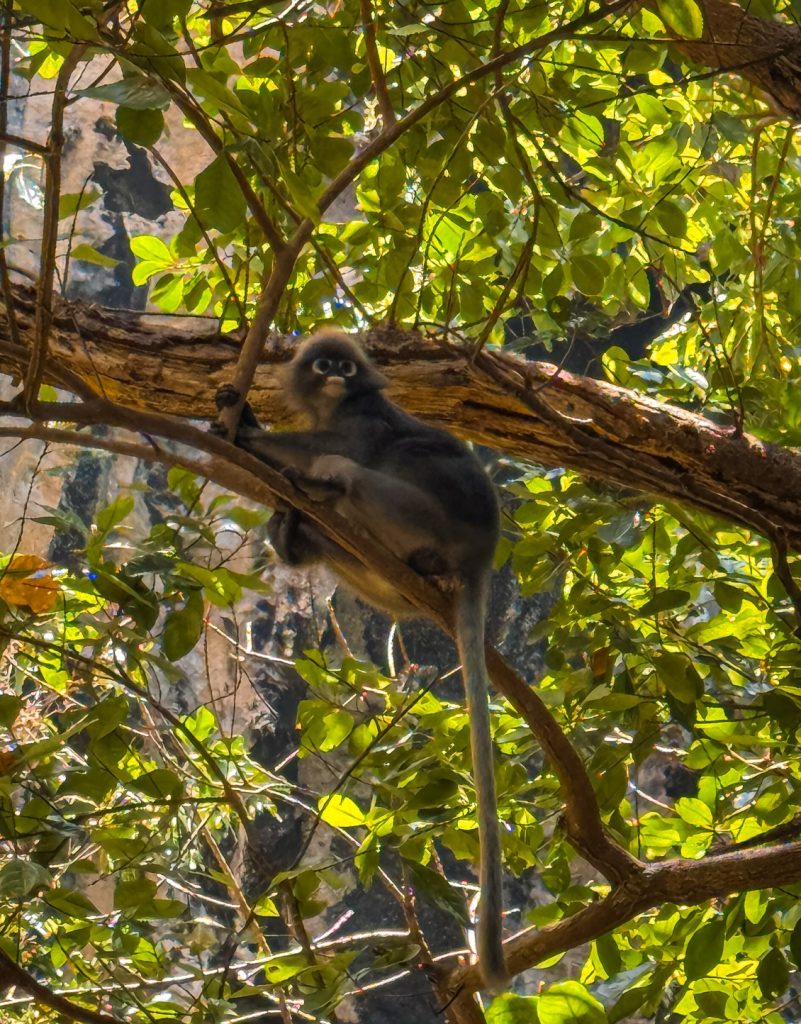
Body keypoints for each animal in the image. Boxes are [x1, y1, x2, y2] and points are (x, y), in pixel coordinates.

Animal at [214, 331, 507, 992]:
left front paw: (247, 433)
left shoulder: (362, 421)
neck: (335, 405)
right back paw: (296, 534)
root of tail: (480, 554)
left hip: (416, 517)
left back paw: (329, 499)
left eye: (346, 368)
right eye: (323, 363)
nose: (333, 373)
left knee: (345, 471)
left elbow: (333, 448)